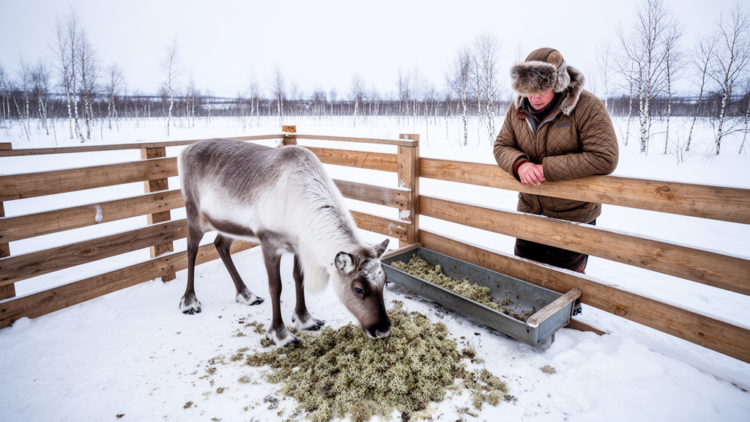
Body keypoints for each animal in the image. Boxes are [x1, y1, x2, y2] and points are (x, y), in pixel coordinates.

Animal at [177, 138, 391, 346]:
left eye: (384, 281)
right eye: (358, 289)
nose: (383, 329)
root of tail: (185, 150)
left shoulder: (298, 245)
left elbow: (298, 278)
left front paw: (306, 320)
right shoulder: (269, 243)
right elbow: (276, 286)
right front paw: (280, 335)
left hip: (229, 225)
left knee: (220, 244)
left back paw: (247, 295)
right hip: (194, 214)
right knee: (191, 249)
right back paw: (189, 302)